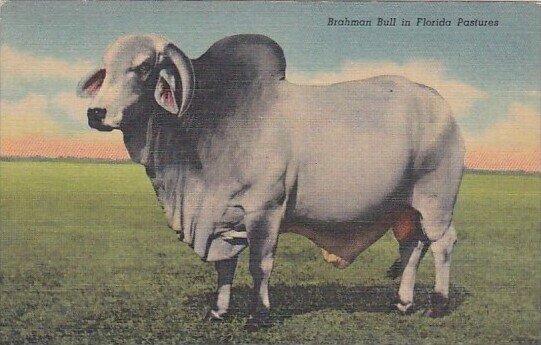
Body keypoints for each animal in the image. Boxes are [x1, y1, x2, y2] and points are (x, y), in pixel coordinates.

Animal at [76, 33, 464, 330]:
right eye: (106, 68)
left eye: (143, 67)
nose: (96, 113)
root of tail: (442, 106)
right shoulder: (222, 215)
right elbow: (225, 266)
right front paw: (218, 311)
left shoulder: (264, 207)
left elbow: (259, 264)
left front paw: (258, 316)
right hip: (407, 208)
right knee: (412, 246)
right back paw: (403, 303)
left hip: (436, 201)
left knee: (443, 244)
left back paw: (437, 305)